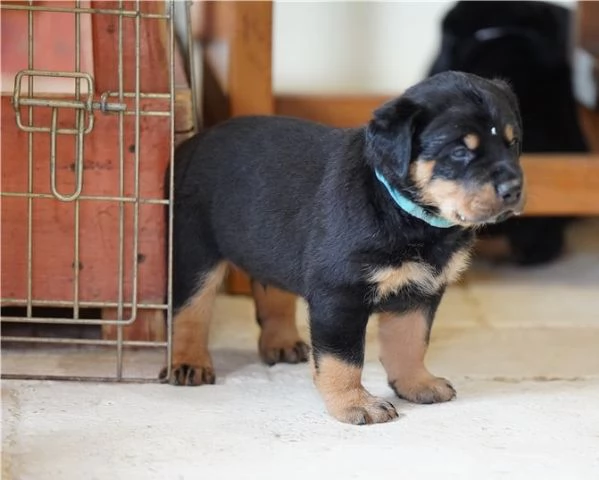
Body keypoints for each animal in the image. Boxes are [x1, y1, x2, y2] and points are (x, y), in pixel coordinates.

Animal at [164, 70, 524, 424]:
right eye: (459, 152)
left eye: (513, 144)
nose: (514, 189)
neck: (403, 211)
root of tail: (190, 144)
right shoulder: (339, 295)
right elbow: (343, 359)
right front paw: (355, 404)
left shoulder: (420, 293)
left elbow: (411, 342)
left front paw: (417, 384)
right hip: (195, 251)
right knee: (191, 310)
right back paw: (189, 363)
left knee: (274, 292)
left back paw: (281, 343)